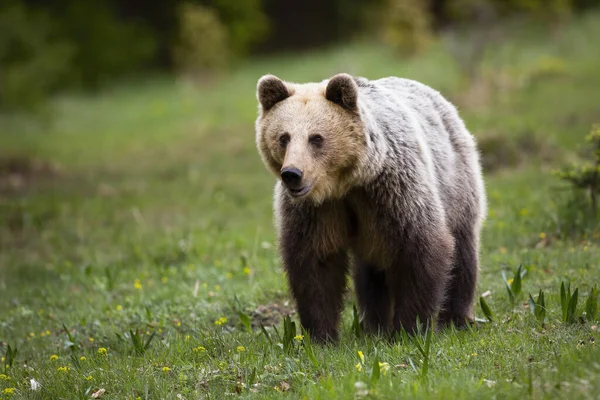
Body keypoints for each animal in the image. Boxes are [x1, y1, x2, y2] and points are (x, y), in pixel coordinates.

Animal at [254, 73, 488, 342]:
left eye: (316, 138)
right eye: (283, 137)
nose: (292, 174)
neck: (345, 185)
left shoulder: (393, 189)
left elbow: (421, 247)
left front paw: (409, 329)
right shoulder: (318, 211)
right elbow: (315, 263)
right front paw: (321, 336)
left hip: (455, 181)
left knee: (463, 248)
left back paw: (457, 319)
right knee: (371, 270)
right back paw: (375, 326)